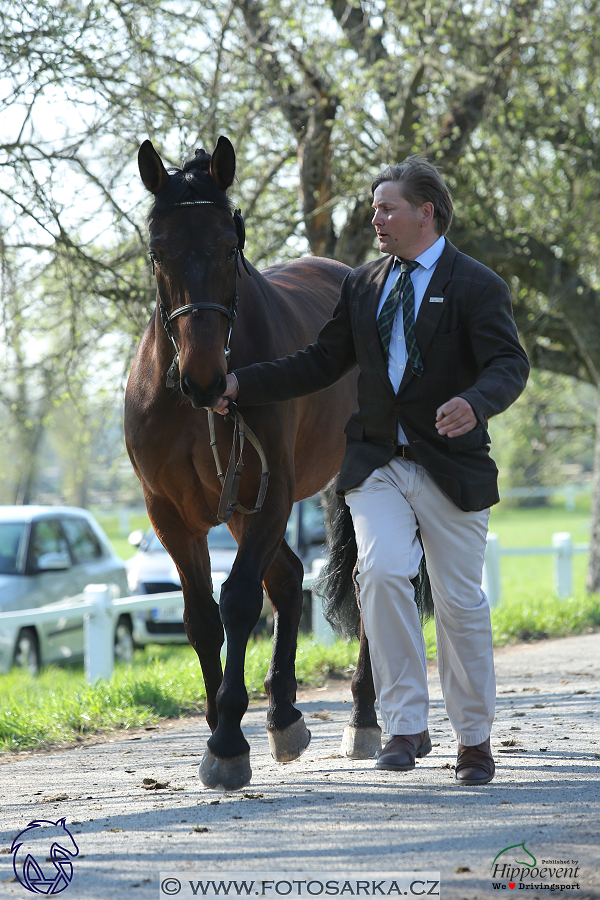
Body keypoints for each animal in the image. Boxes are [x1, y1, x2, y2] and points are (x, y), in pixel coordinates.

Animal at [125, 134, 384, 788]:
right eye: (157, 251)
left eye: (228, 245)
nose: (204, 377)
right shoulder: (172, 513)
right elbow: (200, 617)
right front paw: (221, 722)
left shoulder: (270, 492)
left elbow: (240, 600)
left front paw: (226, 741)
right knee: (289, 577)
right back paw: (284, 715)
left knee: (367, 579)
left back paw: (363, 716)